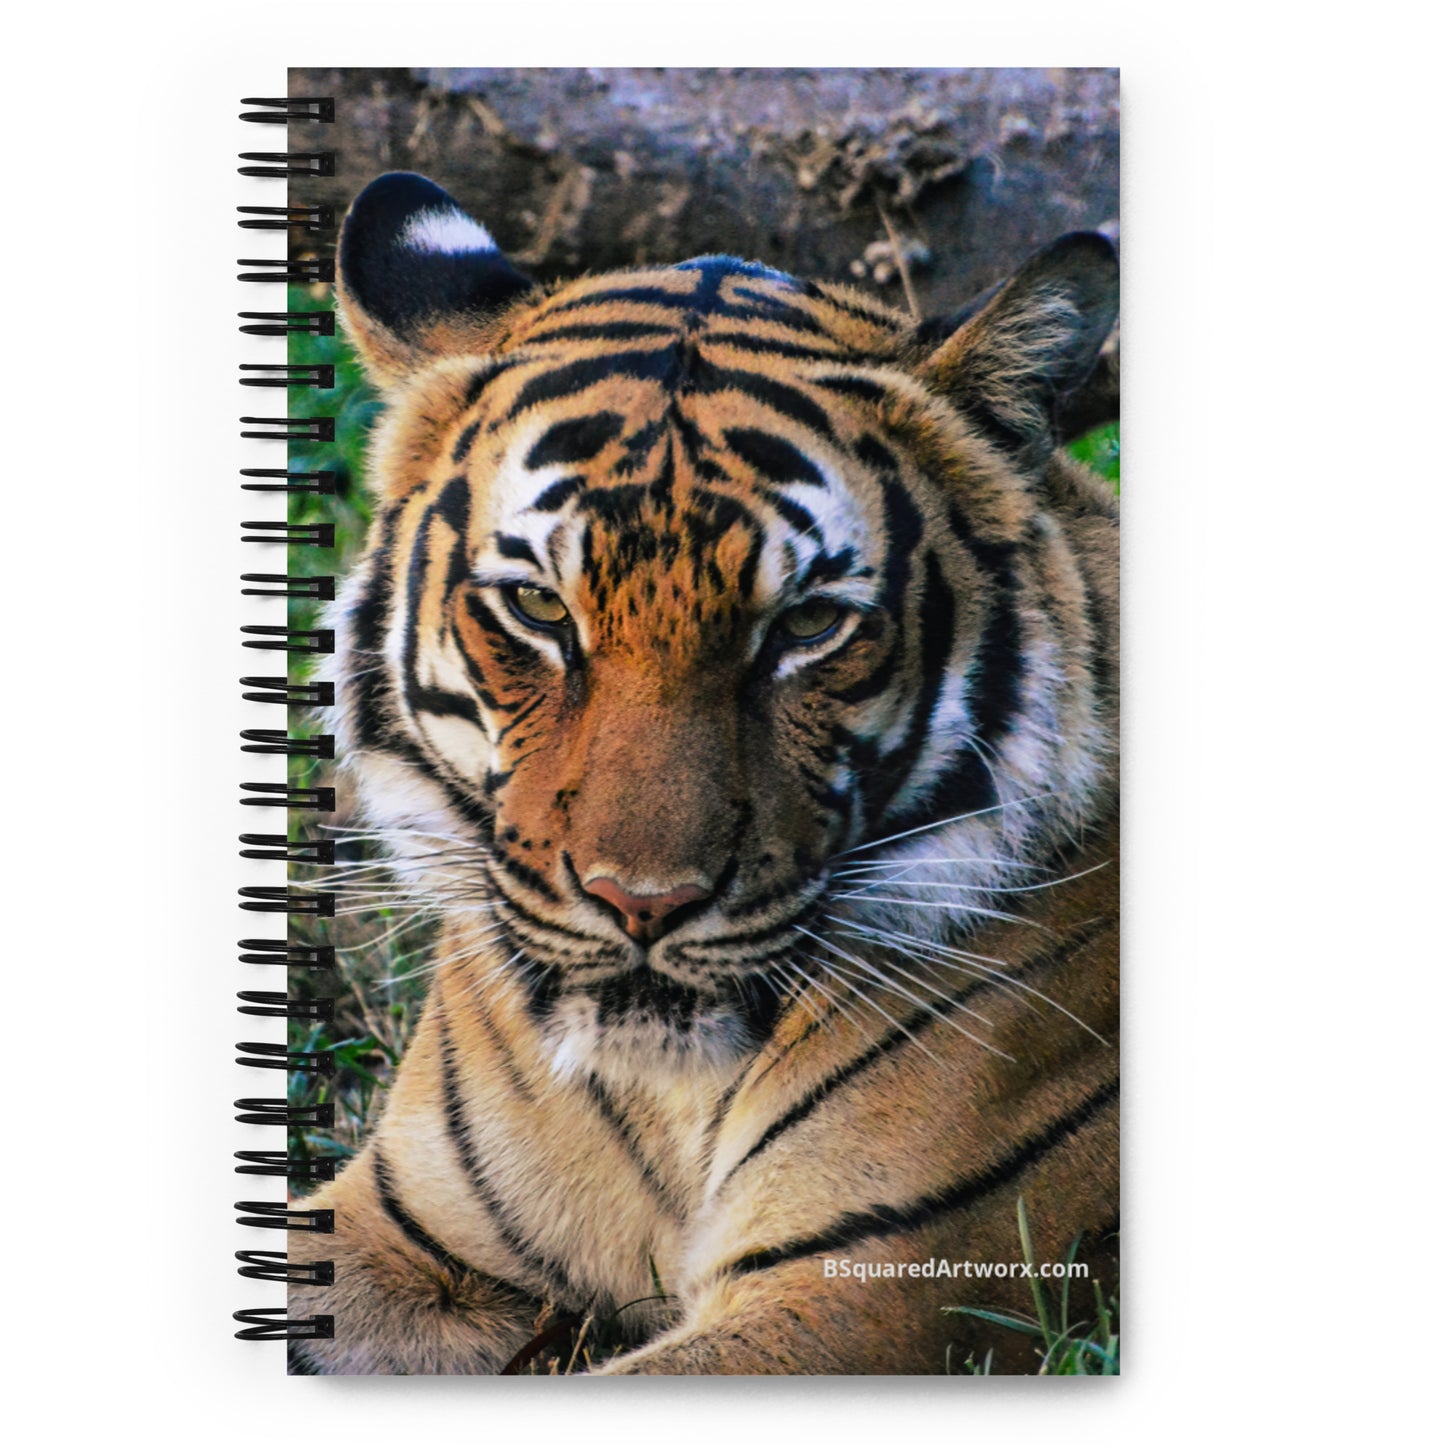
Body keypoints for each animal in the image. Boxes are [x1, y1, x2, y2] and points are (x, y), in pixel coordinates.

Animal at [287, 170, 1120, 1375]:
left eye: (808, 625)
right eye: (538, 607)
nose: (642, 904)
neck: (657, 1098)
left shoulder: (864, 1287)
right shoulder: (400, 1224)